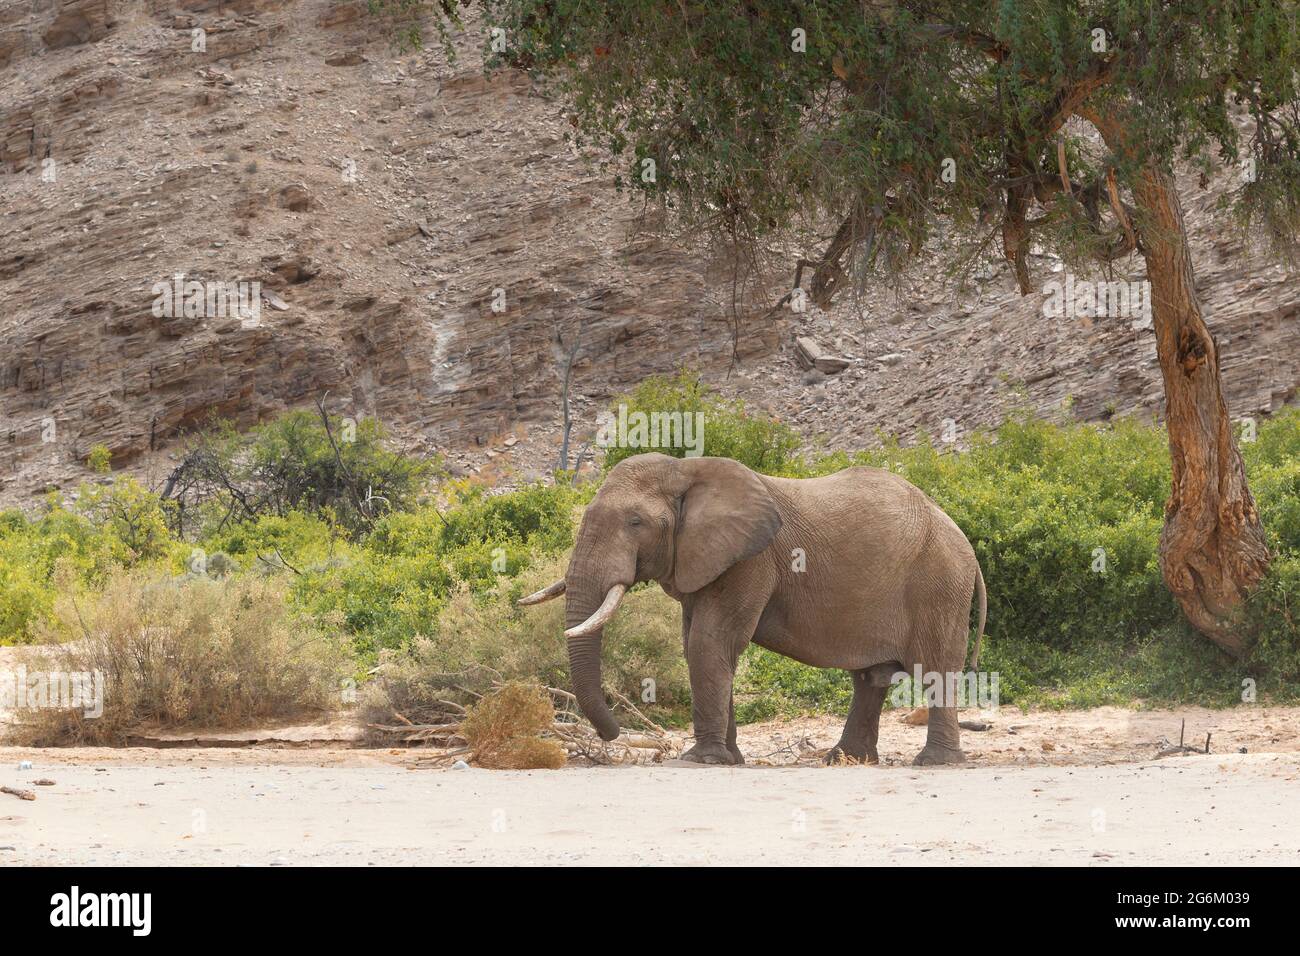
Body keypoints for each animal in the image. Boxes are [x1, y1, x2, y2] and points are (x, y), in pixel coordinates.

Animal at [517, 452, 982, 764]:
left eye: (635, 523)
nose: (614, 736)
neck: (686, 469)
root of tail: (964, 542)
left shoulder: (750, 560)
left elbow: (710, 643)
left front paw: (699, 760)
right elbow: (698, 645)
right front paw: (728, 759)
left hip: (939, 584)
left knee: (936, 667)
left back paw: (934, 763)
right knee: (870, 678)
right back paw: (844, 760)